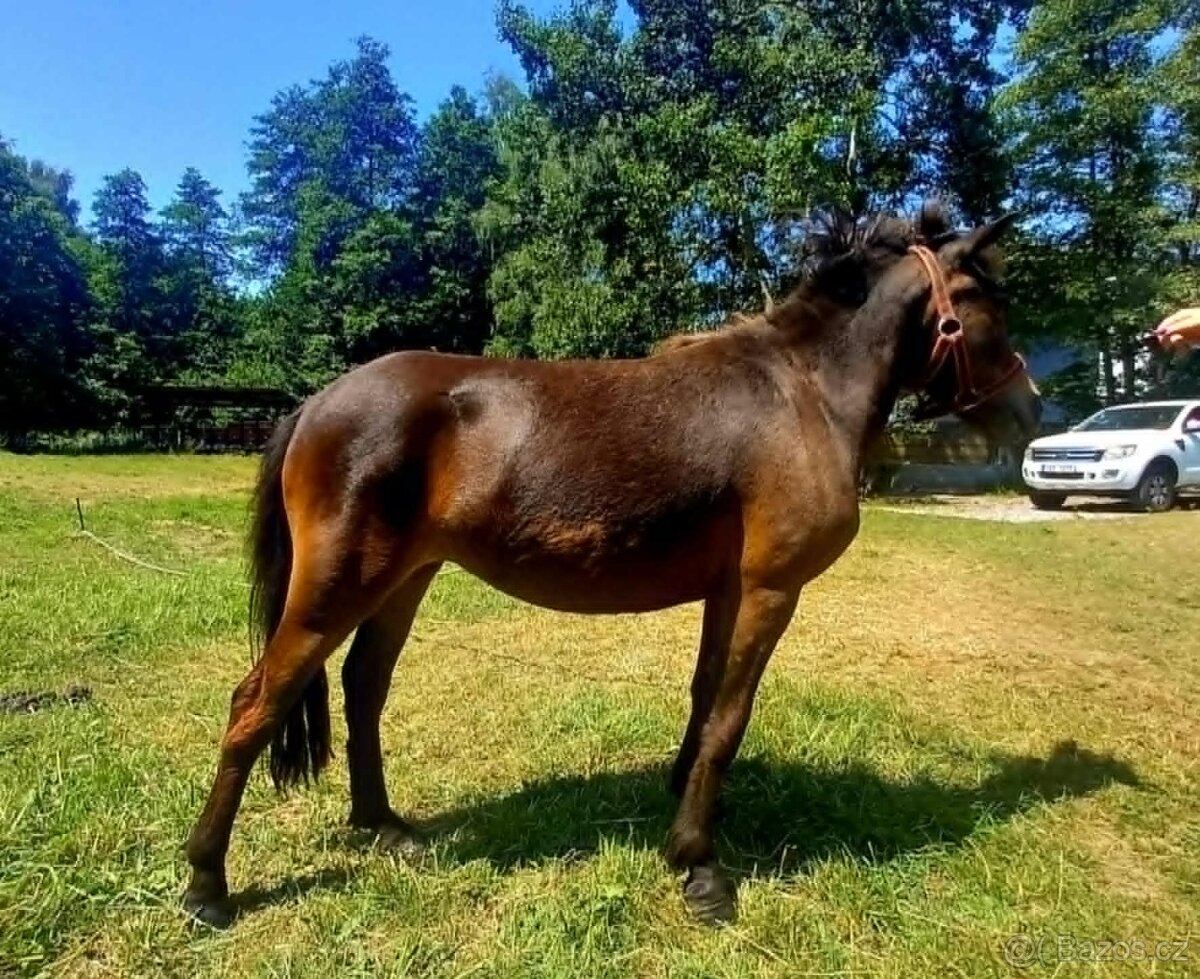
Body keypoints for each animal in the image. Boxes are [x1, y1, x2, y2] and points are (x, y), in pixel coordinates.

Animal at [181, 203, 1041, 928]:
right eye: (982, 299)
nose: (1030, 409)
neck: (800, 391)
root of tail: (314, 403)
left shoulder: (728, 588)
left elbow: (705, 697)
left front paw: (690, 809)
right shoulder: (772, 587)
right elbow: (731, 714)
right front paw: (700, 867)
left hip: (405, 577)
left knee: (364, 686)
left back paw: (382, 826)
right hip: (338, 585)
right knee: (257, 702)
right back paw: (207, 886)